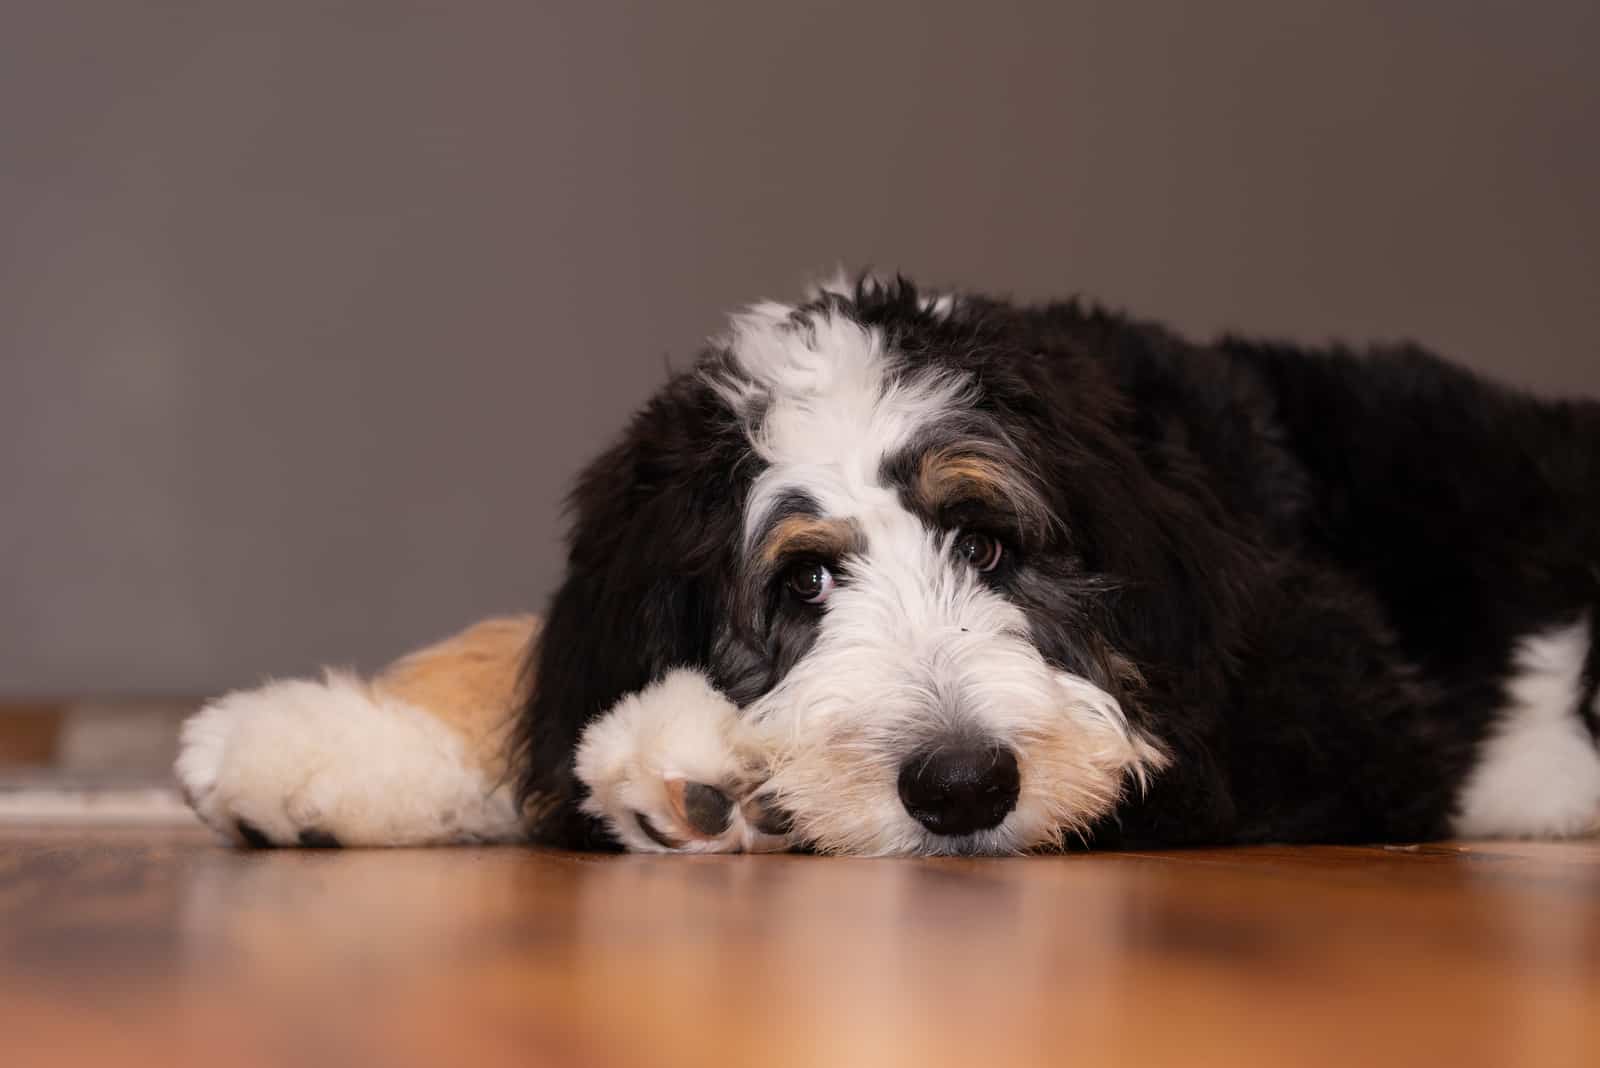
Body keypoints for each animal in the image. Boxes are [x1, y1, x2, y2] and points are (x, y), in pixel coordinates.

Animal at [178, 271, 1600, 856]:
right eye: (804, 583)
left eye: (988, 543)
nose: (962, 785)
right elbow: (528, 653)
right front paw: (325, 747)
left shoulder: (1333, 701)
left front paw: (703, 762)